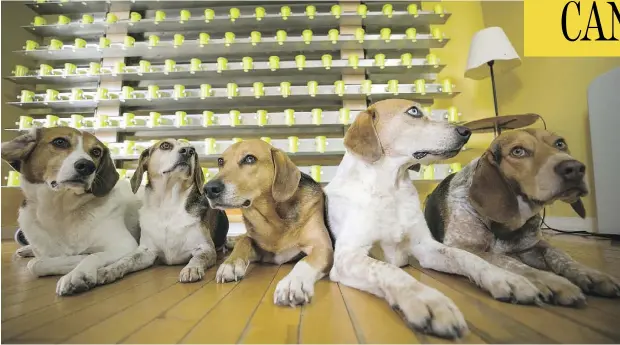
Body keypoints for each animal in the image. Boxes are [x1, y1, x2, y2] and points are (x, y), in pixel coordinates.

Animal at [0, 127, 139, 294]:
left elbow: (93, 256)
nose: (87, 166)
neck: (61, 209)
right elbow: (36, 264)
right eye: (60, 142)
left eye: (96, 151)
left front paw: (79, 271)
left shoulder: (125, 244)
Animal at [98, 138, 229, 284]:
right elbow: (126, 260)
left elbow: (197, 258)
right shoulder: (146, 251)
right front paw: (109, 270)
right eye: (165, 145)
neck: (169, 203)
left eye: (193, 150)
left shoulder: (205, 248)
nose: (188, 151)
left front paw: (191, 269)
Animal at [205, 138, 334, 306]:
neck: (272, 220)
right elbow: (245, 240)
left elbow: (304, 262)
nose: (208, 189)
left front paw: (293, 282)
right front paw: (230, 264)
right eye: (220, 161)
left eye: (249, 159)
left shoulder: (322, 246)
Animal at [324, 99, 552, 338]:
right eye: (414, 111)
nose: (466, 131)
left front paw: (505, 278)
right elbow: (390, 270)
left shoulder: (425, 246)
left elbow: (468, 257)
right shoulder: (348, 257)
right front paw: (428, 300)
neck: (391, 188)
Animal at [426, 127, 620, 302]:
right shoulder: (464, 246)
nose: (574, 168)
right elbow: (506, 260)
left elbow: (560, 254)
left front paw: (590, 273)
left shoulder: (534, 244)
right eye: (518, 151)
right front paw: (551, 281)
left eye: (560, 143)